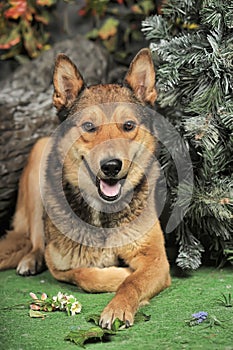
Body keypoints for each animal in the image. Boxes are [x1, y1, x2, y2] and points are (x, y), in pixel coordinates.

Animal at [0, 48, 171, 328]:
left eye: (128, 125)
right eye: (89, 126)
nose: (111, 166)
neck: (103, 213)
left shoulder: (156, 259)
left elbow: (133, 282)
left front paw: (118, 306)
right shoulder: (59, 264)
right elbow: (85, 275)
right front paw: (118, 273)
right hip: (37, 161)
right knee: (36, 240)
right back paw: (30, 260)